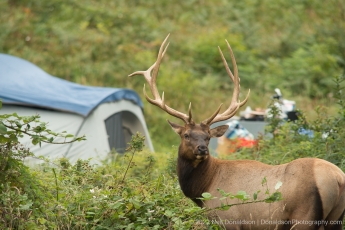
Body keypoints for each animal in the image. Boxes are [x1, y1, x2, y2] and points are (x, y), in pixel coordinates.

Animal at [128, 34, 344, 230]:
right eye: (186, 135)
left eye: (208, 137)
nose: (202, 149)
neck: (204, 188)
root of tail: (337, 179)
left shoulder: (227, 219)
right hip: (335, 219)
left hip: (304, 216)